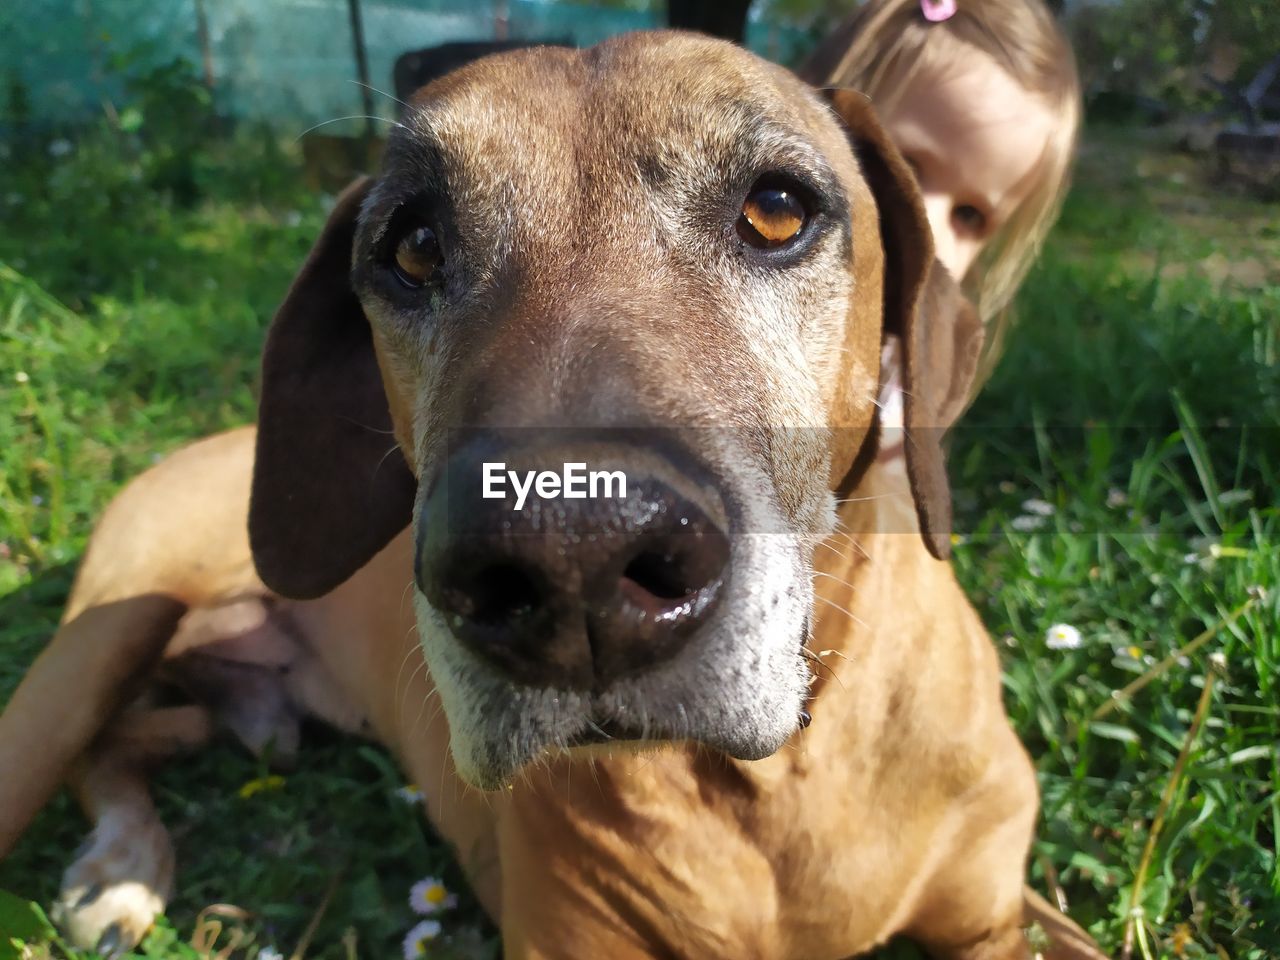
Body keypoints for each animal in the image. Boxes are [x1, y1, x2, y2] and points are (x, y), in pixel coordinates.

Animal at [0, 32, 1100, 960]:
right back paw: (118, 867)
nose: (573, 557)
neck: (774, 782)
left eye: (777, 208)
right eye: (412, 246)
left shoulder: (995, 921)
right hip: (96, 647)